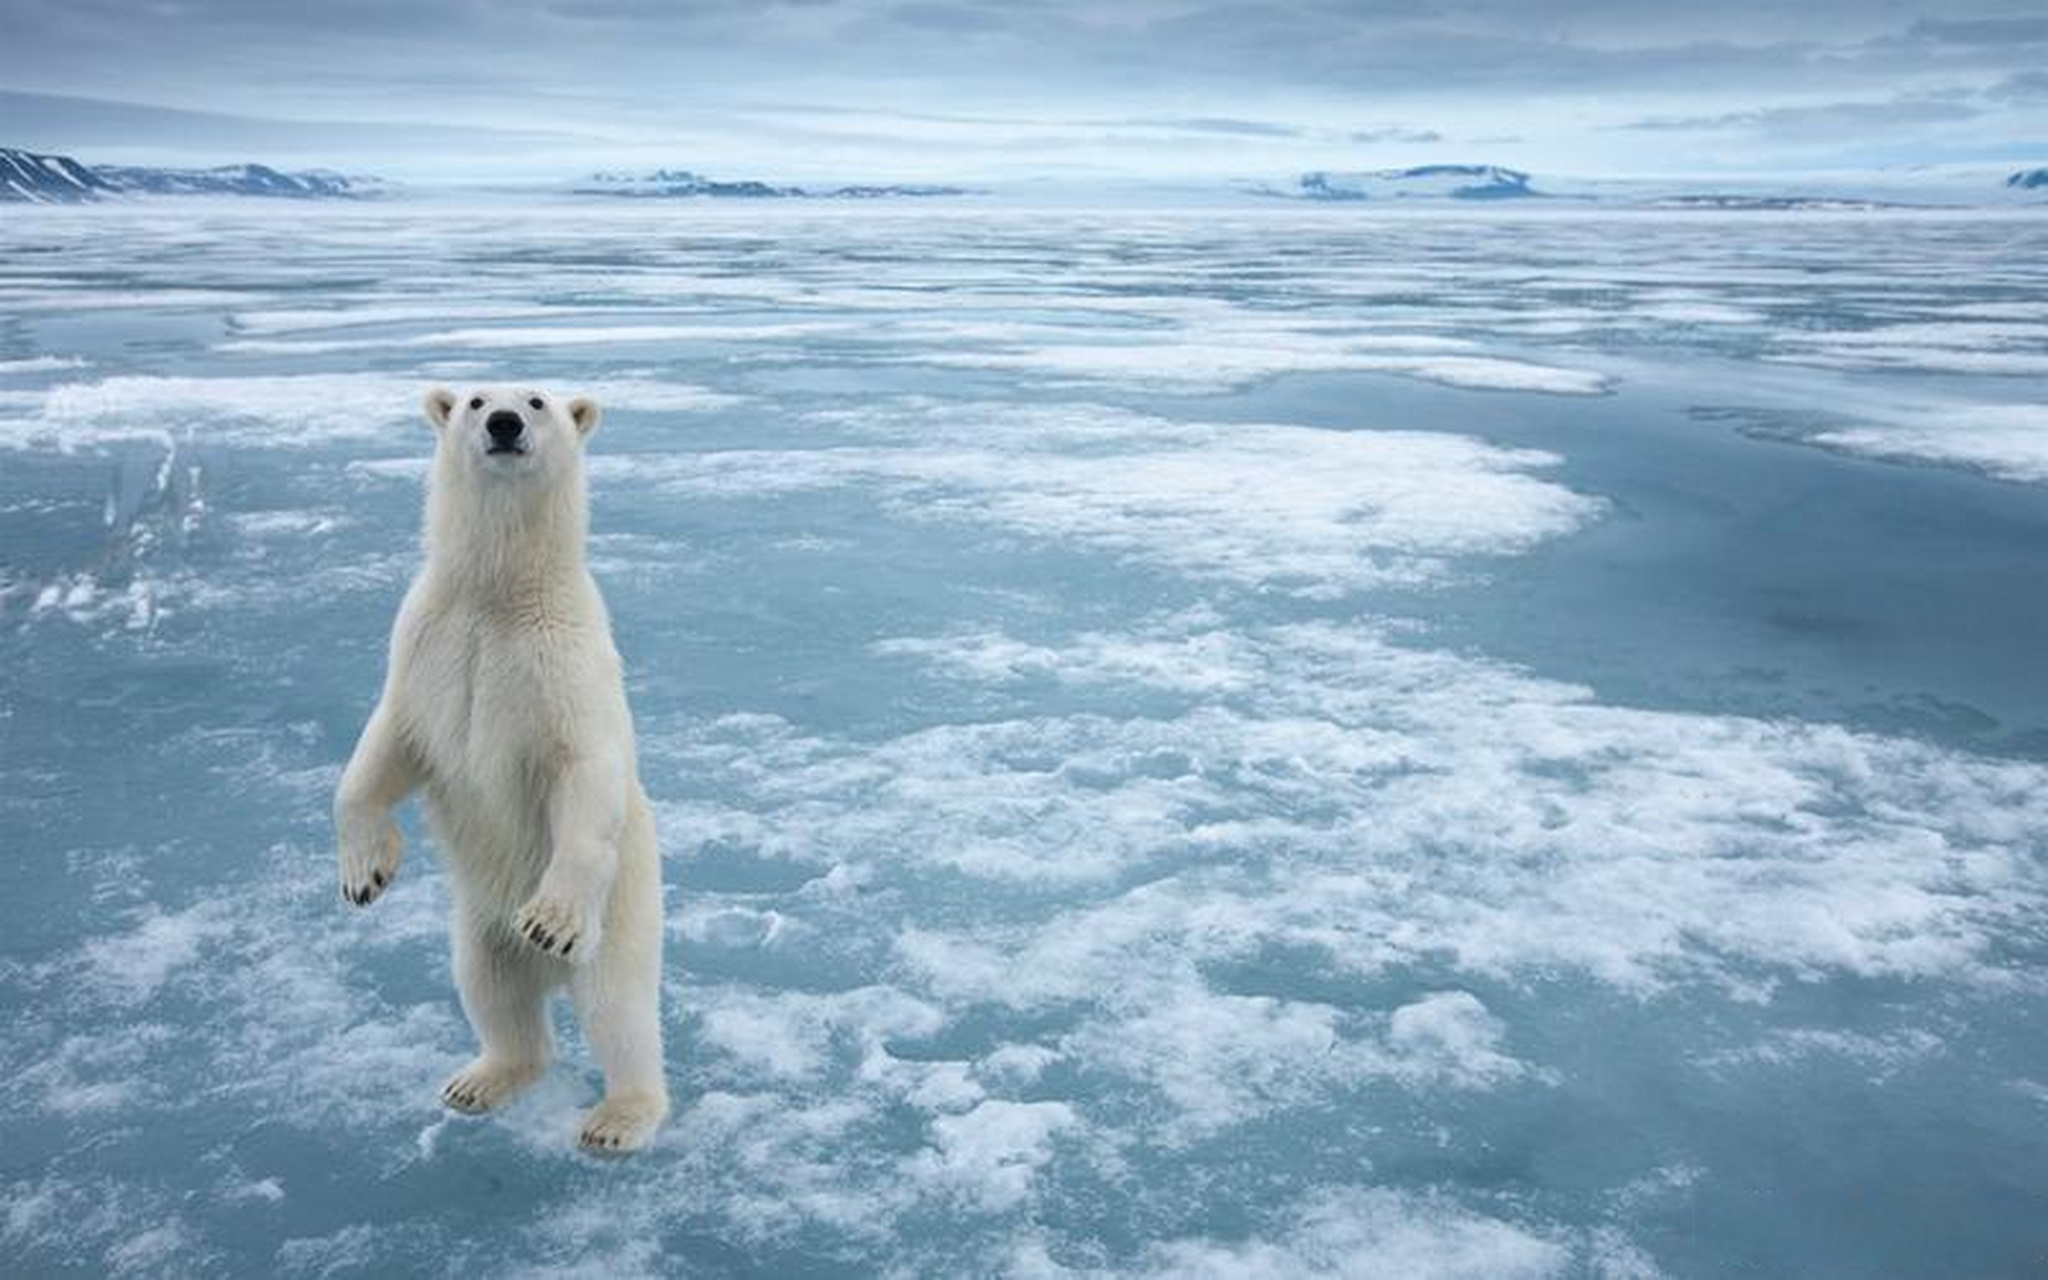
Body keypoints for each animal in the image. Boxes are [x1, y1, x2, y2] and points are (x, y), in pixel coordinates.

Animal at [327, 387, 663, 1146]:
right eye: (476, 398)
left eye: (537, 400)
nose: (503, 424)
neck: (496, 593)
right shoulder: (427, 645)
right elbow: (384, 748)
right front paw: (365, 875)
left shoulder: (564, 664)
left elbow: (583, 772)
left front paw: (549, 921)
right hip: (479, 925)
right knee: (492, 992)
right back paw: (479, 1080)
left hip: (623, 912)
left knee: (618, 1010)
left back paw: (618, 1118)